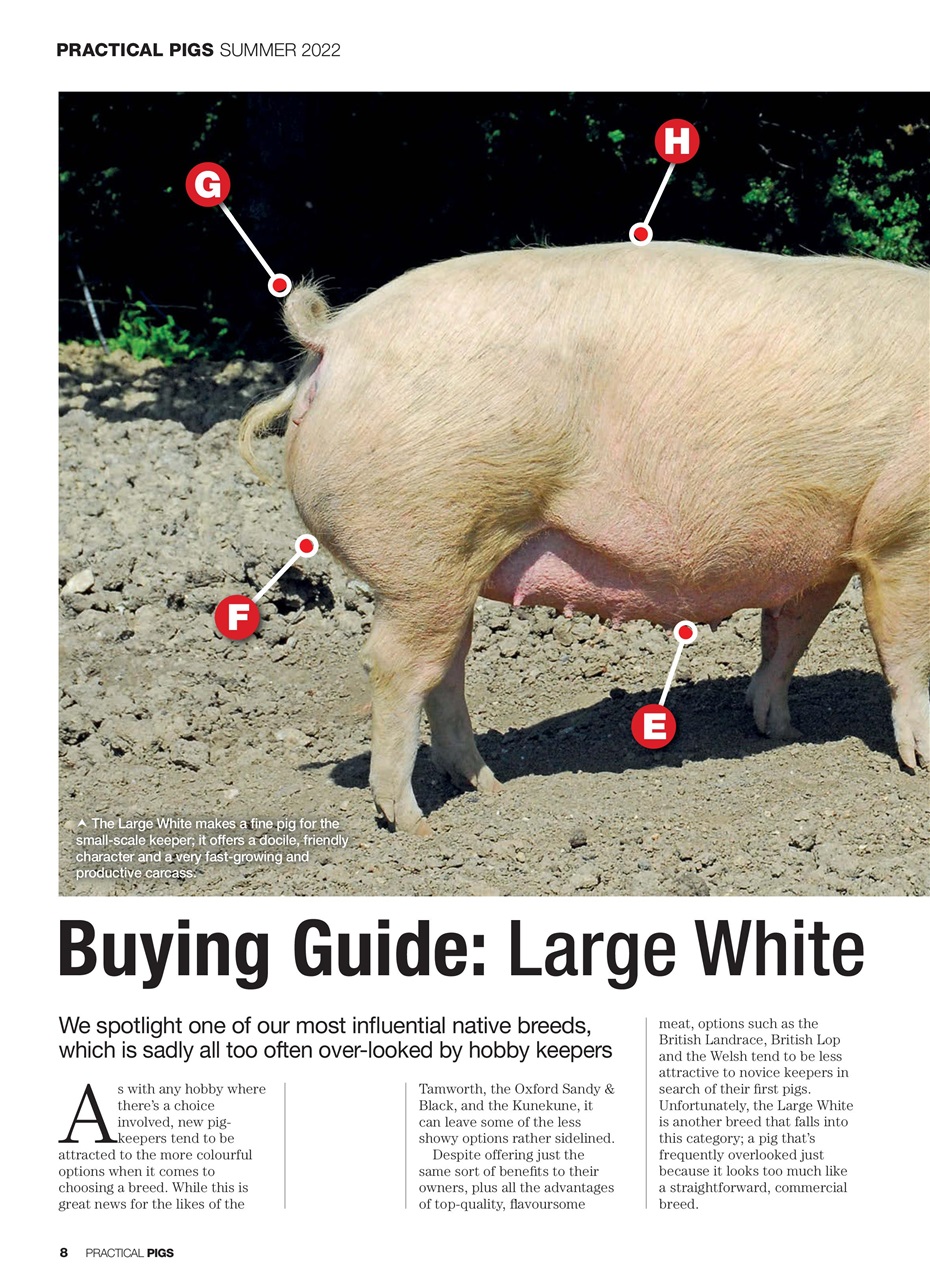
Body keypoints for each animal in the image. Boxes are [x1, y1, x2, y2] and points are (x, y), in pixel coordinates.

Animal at [240, 241, 929, 835]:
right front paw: (920, 766)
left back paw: (486, 787)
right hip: (424, 552)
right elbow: (904, 650)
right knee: (395, 668)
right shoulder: (902, 532)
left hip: (450, 568)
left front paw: (778, 731)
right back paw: (415, 824)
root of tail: (333, 337)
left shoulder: (829, 549)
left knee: (446, 668)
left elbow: (789, 635)